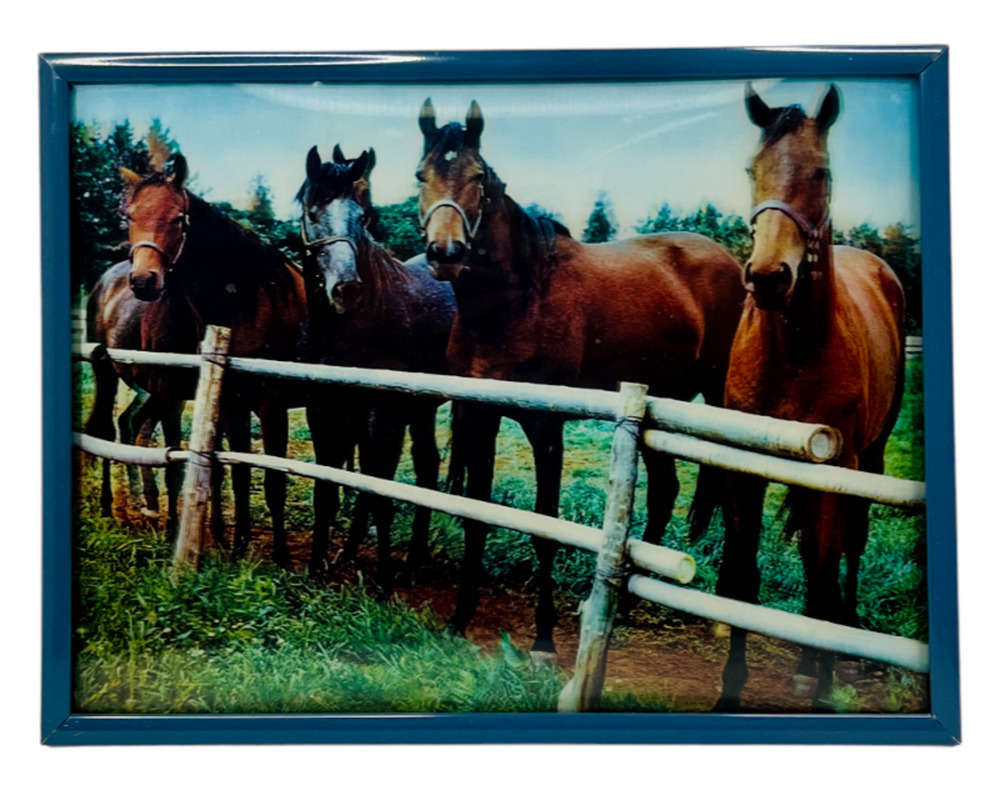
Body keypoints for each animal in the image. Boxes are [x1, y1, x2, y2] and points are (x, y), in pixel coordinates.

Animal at [121, 152, 308, 566]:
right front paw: (238, 546)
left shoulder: (271, 408)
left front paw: (281, 557)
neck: (253, 301)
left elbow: (273, 481)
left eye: (179, 218)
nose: (143, 281)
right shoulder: (234, 405)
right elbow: (238, 473)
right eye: (129, 216)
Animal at [297, 145, 457, 591]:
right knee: (426, 464)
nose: (347, 288)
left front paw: (383, 581)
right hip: (420, 410)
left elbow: (377, 487)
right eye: (312, 210)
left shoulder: (379, 413)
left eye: (363, 216)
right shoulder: (323, 408)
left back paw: (407, 565)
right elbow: (330, 486)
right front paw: (318, 565)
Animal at [416, 99, 746, 661]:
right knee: (665, 490)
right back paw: (628, 608)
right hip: (663, 403)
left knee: (727, 490)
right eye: (421, 175)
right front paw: (460, 619)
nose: (446, 252)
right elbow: (476, 514)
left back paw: (722, 618)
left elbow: (545, 527)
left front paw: (544, 638)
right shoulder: (478, 415)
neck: (517, 300)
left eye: (479, 177)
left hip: (719, 400)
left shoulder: (546, 428)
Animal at [713, 84, 906, 710]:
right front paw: (731, 690)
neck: (793, 348)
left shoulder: (837, 473)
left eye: (823, 172)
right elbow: (743, 577)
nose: (770, 277)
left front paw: (824, 692)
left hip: (869, 461)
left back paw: (839, 651)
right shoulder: (746, 469)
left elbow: (822, 578)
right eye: (752, 169)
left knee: (847, 552)